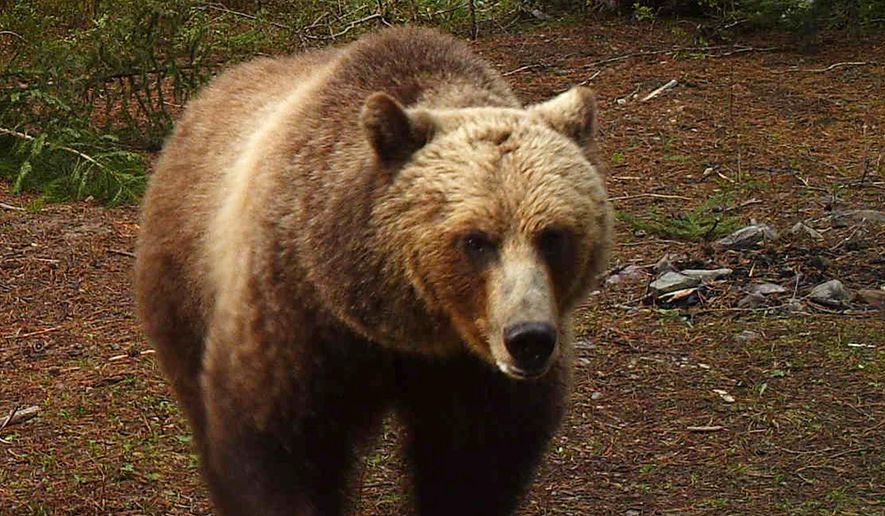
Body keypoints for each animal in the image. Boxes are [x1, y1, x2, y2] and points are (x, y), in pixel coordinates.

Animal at [134, 26, 612, 516]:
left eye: (552, 235)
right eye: (476, 240)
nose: (529, 339)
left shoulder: (474, 375)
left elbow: (474, 462)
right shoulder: (297, 310)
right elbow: (273, 444)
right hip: (183, 281)